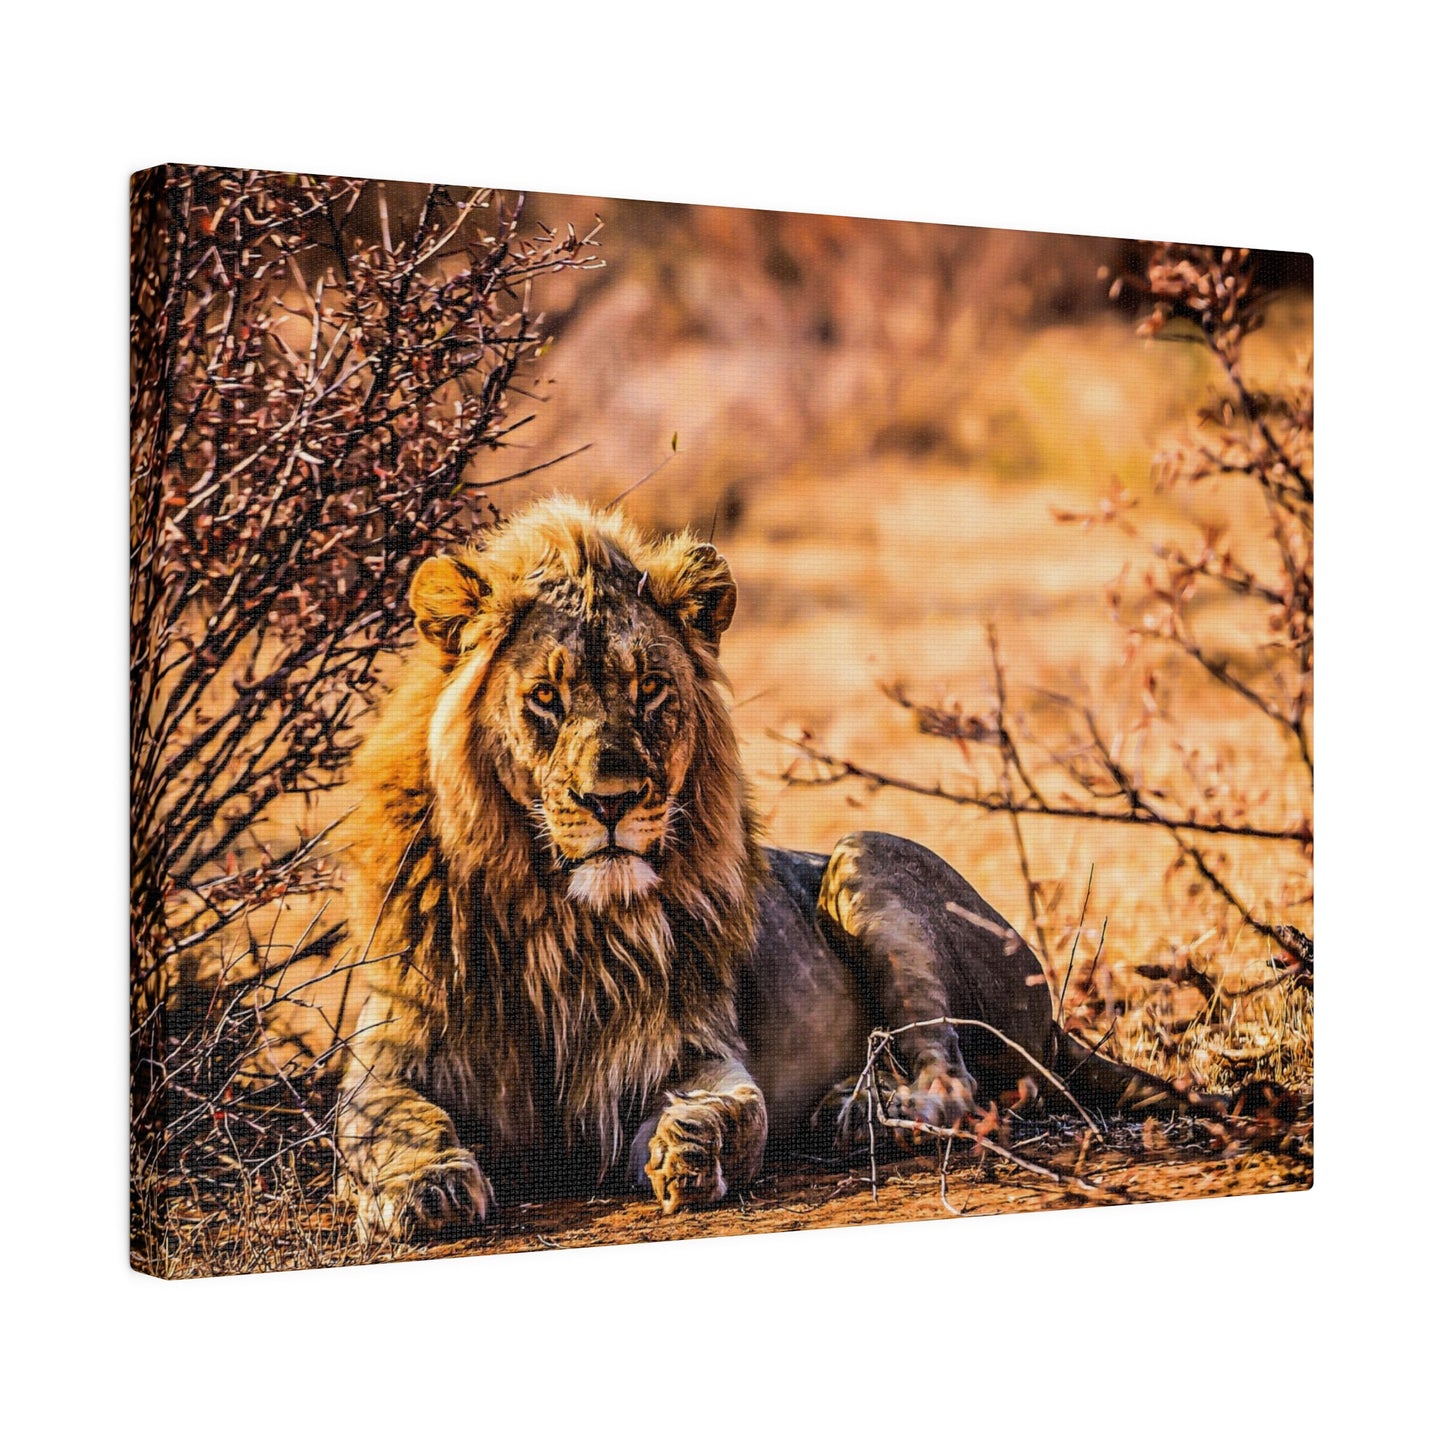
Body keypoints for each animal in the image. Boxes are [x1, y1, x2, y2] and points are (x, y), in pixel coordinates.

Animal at [332, 491, 1190, 1236]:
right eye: (545, 695)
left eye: (651, 688)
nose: (612, 800)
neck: (559, 916)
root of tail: (1053, 1014)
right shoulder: (387, 1056)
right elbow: (389, 1121)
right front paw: (425, 1184)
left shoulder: (689, 1050)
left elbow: (737, 1109)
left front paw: (692, 1150)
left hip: (863, 860)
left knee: (956, 1082)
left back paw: (860, 1115)